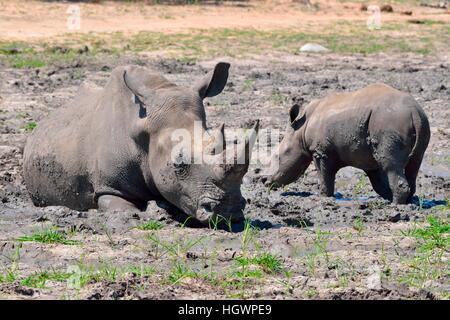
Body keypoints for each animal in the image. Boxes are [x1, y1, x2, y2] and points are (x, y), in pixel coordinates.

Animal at [266, 82, 430, 202]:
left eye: (277, 157)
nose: (265, 181)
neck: (300, 130)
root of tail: (414, 112)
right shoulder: (367, 158)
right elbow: (378, 182)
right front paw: (386, 197)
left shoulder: (320, 151)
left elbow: (324, 177)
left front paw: (323, 198)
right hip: (419, 122)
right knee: (414, 163)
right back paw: (407, 202)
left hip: (389, 122)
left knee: (391, 165)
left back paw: (395, 206)